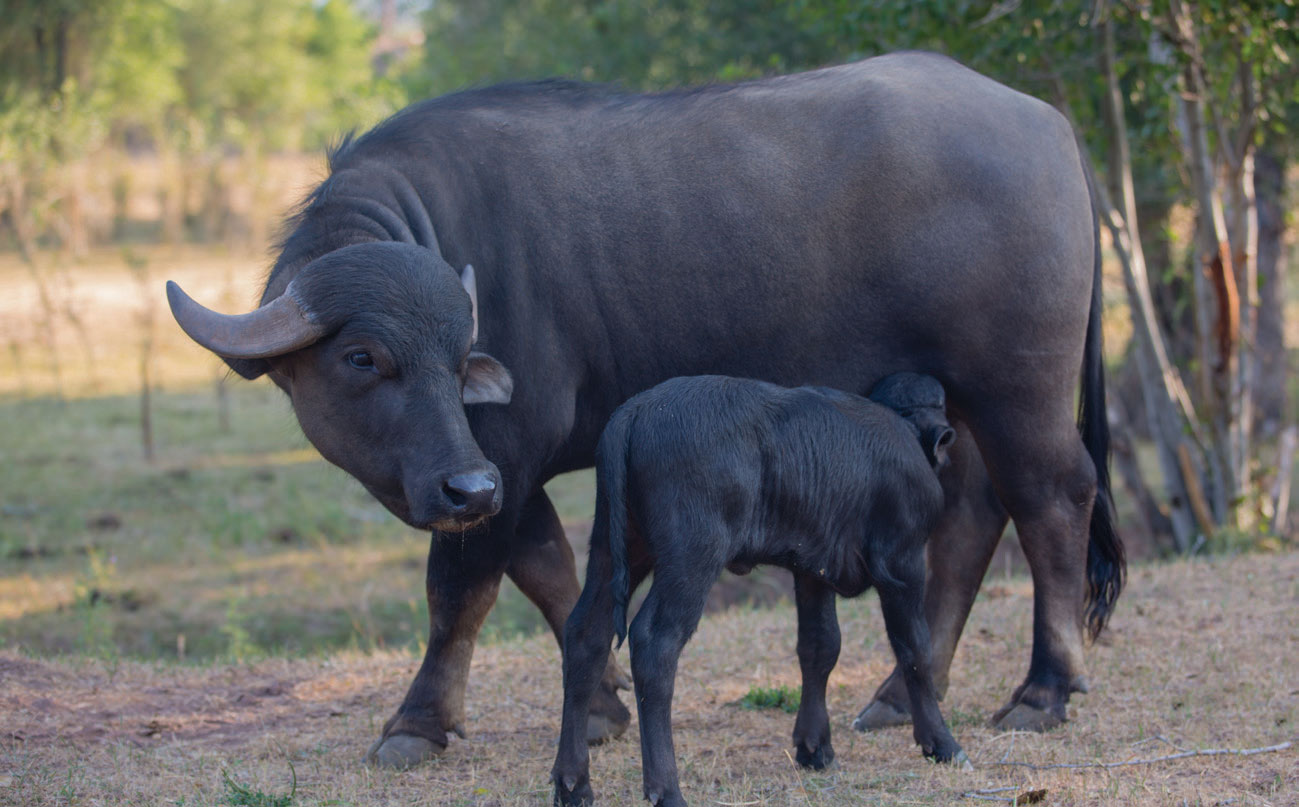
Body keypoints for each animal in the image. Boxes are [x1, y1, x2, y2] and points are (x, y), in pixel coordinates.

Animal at [553, 374, 971, 800]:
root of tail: (634, 412)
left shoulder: (812, 571)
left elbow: (820, 647)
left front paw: (814, 747)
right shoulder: (904, 564)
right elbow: (915, 649)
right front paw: (941, 742)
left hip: (612, 548)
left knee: (586, 636)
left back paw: (573, 782)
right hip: (690, 559)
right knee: (655, 644)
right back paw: (666, 789)